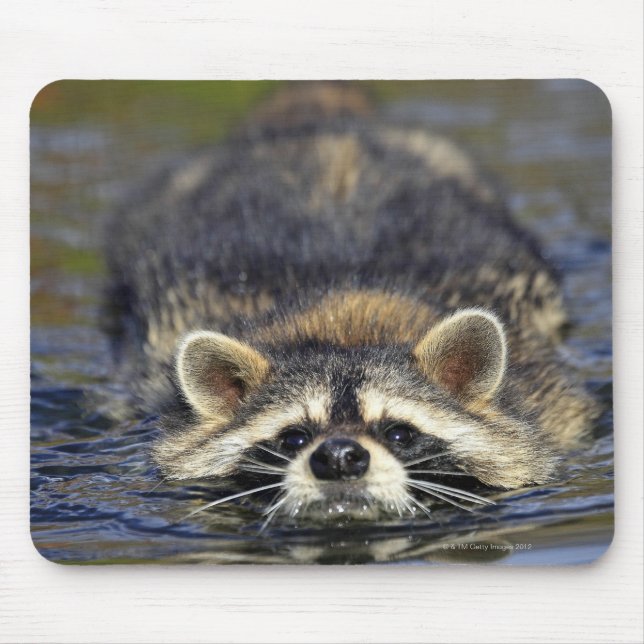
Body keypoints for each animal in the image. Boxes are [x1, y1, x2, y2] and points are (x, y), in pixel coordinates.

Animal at [106, 83, 599, 522]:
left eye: (399, 433)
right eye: (293, 437)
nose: (340, 456)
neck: (347, 318)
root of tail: (319, 121)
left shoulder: (552, 403)